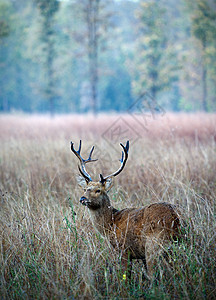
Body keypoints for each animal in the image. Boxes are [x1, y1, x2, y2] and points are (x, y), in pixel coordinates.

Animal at [71, 139, 184, 280]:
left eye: (98, 190)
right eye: (85, 189)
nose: (82, 198)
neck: (110, 224)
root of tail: (175, 219)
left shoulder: (124, 249)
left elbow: (125, 277)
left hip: (154, 245)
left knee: (154, 274)